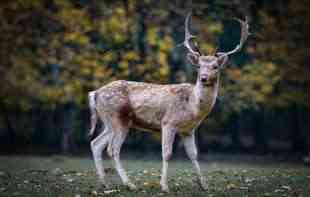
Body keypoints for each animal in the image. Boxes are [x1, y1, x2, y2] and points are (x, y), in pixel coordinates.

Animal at [87, 13, 249, 192]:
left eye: (215, 66)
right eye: (199, 66)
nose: (203, 78)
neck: (193, 107)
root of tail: (95, 93)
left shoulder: (189, 130)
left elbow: (193, 154)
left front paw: (204, 185)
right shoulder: (168, 122)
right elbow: (167, 153)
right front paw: (164, 186)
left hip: (109, 121)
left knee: (96, 143)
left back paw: (105, 183)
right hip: (118, 118)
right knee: (112, 149)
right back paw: (129, 184)